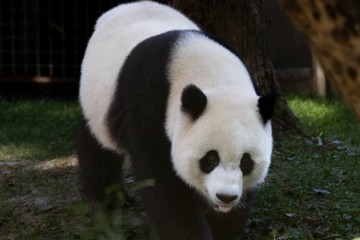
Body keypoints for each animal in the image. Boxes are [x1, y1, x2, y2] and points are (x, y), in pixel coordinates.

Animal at [77, 0, 276, 239]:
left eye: (246, 161)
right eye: (210, 158)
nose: (225, 197)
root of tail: (125, 6)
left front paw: (223, 227)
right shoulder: (149, 106)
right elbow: (165, 186)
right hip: (97, 98)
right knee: (97, 145)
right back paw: (107, 199)